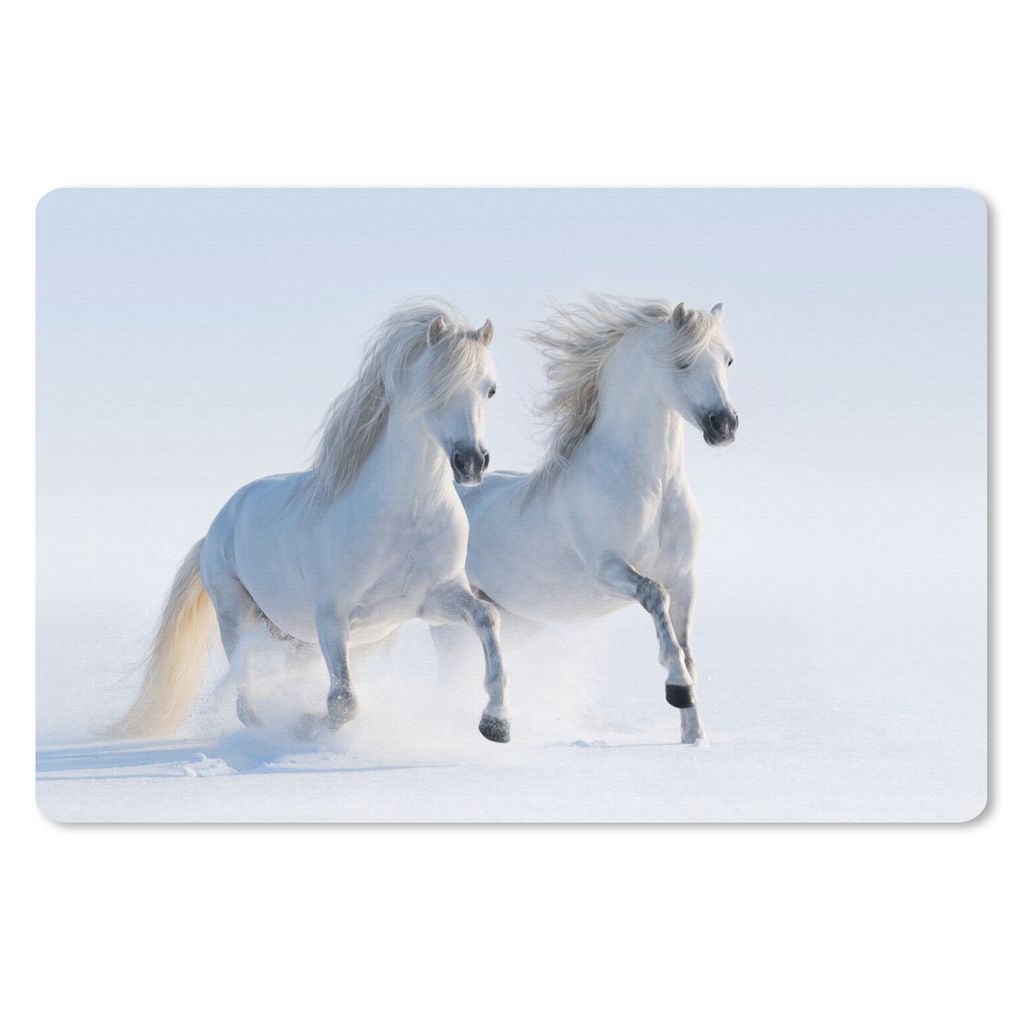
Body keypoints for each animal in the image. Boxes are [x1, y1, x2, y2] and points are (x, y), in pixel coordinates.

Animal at [112, 302, 512, 744]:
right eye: (434, 386)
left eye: (490, 389)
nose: (471, 462)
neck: (406, 516)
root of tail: (217, 526)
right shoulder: (332, 616)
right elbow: (343, 701)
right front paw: (306, 726)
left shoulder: (434, 600)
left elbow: (487, 617)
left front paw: (496, 723)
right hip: (237, 616)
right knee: (244, 696)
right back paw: (267, 729)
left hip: (293, 638)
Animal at [433, 297, 738, 744]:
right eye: (682, 362)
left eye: (728, 360)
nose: (724, 425)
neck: (653, 488)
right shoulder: (608, 569)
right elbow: (655, 598)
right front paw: (677, 689)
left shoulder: (684, 578)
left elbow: (687, 649)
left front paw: (694, 737)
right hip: (448, 618)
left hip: (519, 620)